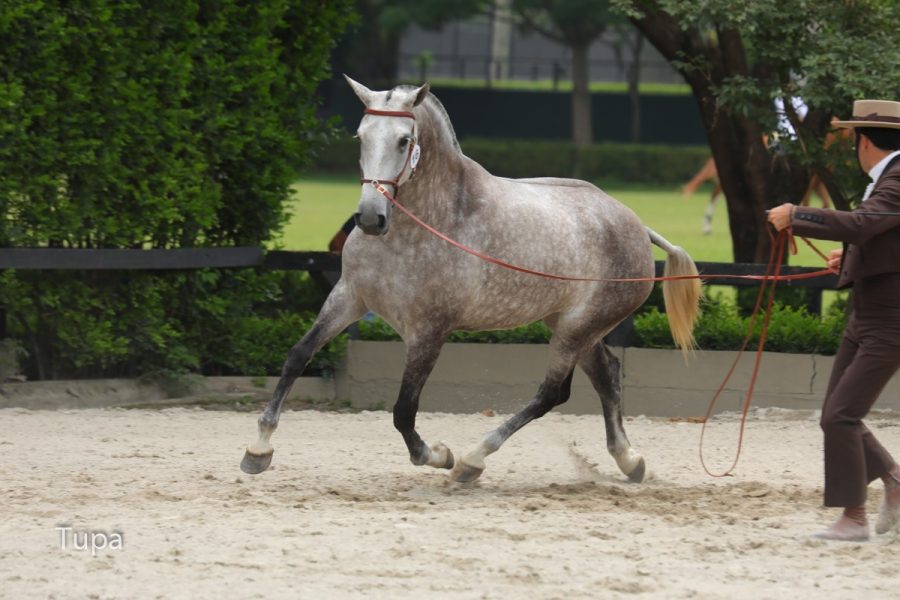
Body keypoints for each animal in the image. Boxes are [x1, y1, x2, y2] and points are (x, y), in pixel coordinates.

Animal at [240, 76, 702, 484]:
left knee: (552, 393)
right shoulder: (350, 297)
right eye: (360, 137)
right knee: (606, 374)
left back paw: (471, 461)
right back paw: (630, 462)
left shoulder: (430, 330)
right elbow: (298, 356)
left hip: (576, 329)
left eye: (403, 141)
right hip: (572, 326)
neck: (422, 227)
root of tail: (636, 226)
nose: (371, 218)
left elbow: (403, 409)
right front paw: (258, 449)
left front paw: (437, 455)